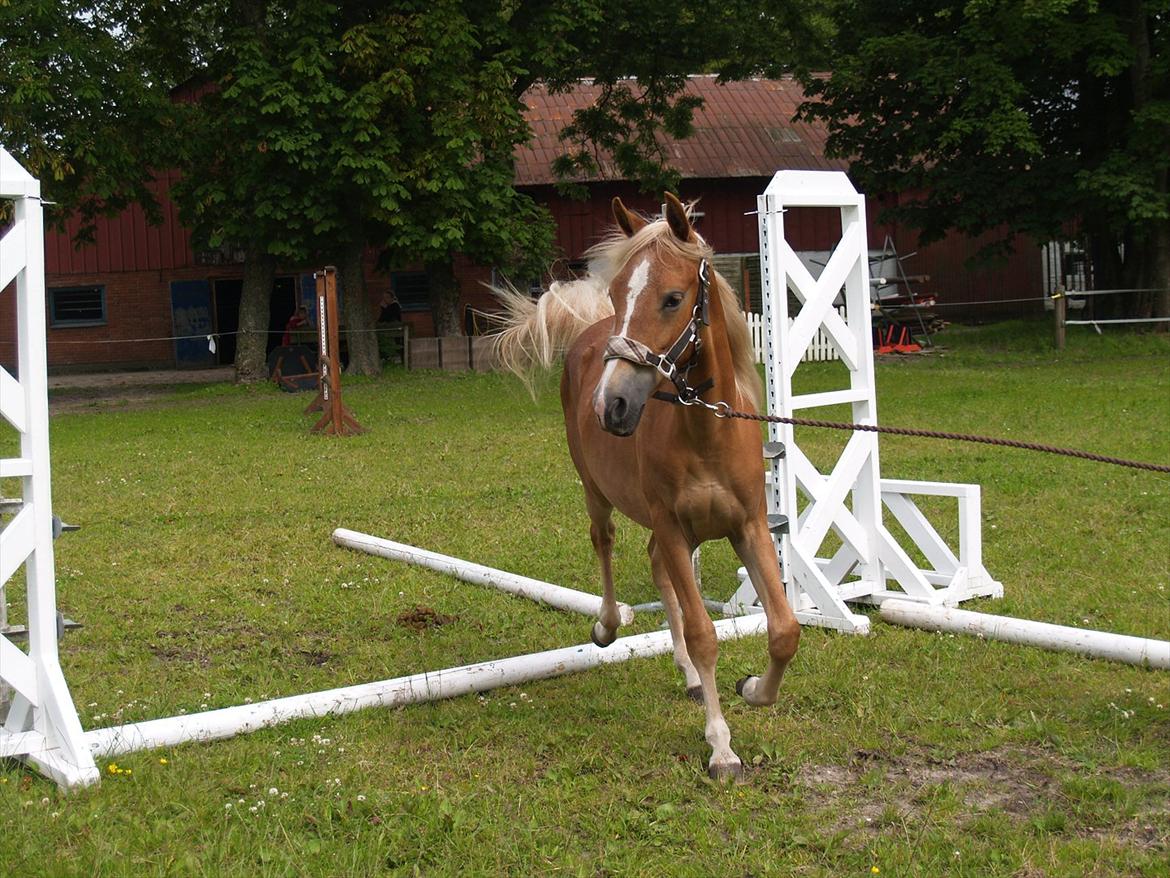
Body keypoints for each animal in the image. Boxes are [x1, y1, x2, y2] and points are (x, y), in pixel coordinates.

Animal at [494, 193, 800, 779]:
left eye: (673, 298)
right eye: (618, 295)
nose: (611, 406)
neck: (706, 430)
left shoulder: (747, 527)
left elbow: (784, 629)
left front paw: (753, 690)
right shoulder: (675, 527)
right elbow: (704, 634)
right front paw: (721, 747)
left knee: (657, 567)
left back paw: (688, 678)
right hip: (596, 490)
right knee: (606, 542)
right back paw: (608, 626)